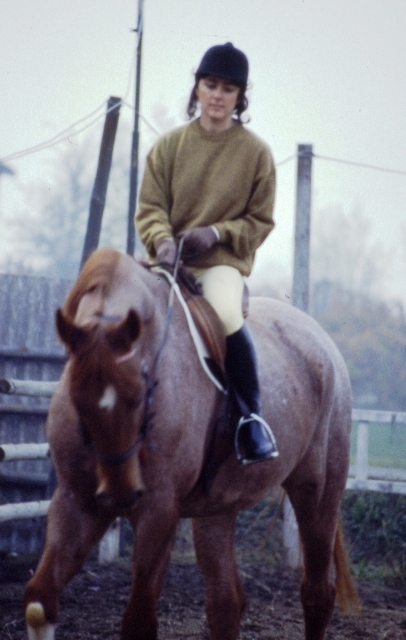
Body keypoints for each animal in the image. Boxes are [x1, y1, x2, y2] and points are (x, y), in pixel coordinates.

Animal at [23, 248, 358, 636]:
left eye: (141, 392)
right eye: (76, 399)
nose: (120, 494)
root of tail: (319, 338)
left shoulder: (159, 511)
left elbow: (139, 620)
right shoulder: (77, 503)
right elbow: (39, 602)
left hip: (316, 492)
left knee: (317, 592)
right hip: (217, 508)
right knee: (226, 602)